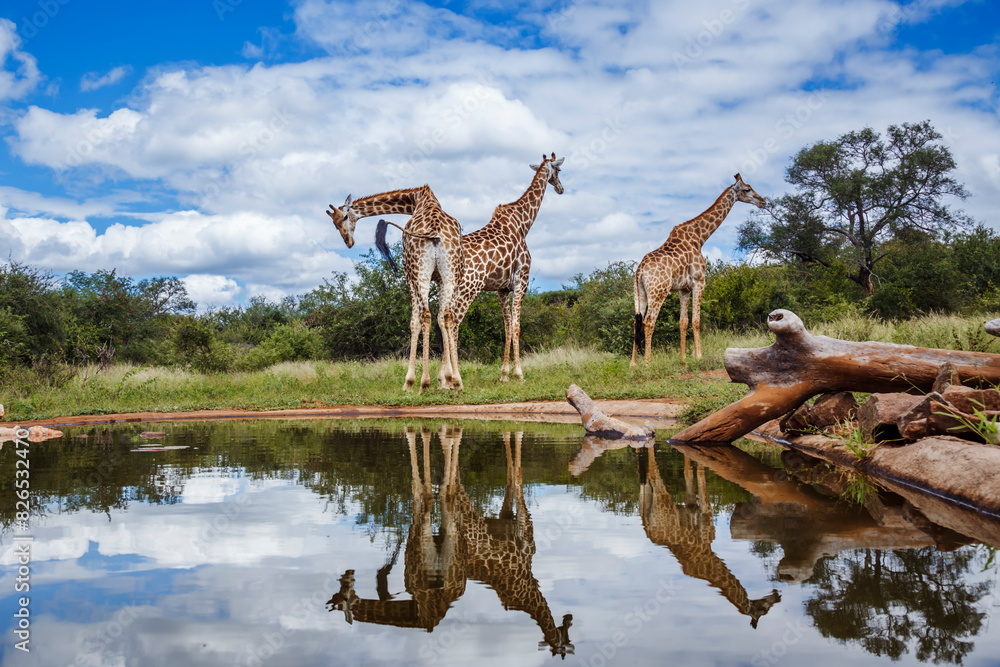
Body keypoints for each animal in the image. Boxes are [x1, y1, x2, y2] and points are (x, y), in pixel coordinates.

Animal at [327, 186, 465, 392]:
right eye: (334, 224)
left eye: (344, 217)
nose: (348, 242)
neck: (417, 199)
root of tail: (434, 230)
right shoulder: (440, 278)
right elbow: (442, 318)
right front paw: (447, 379)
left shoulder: (409, 275)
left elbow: (414, 322)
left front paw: (410, 382)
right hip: (450, 274)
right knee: (447, 316)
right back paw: (456, 381)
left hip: (417, 273)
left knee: (425, 316)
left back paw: (423, 383)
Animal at [327, 426, 575, 657]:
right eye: (565, 638)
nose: (569, 619)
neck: (527, 592)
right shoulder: (522, 532)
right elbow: (517, 475)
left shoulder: (506, 521)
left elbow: (510, 471)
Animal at [448, 153, 565, 382]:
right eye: (559, 170)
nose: (561, 188)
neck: (523, 224)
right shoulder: (522, 280)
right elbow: (517, 326)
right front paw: (519, 373)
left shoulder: (501, 289)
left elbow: (507, 327)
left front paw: (504, 375)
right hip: (469, 287)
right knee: (453, 322)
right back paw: (454, 378)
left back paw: (442, 378)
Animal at [630, 173, 765, 366]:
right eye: (747, 189)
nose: (763, 201)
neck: (700, 237)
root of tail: (640, 269)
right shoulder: (699, 281)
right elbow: (696, 320)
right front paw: (699, 356)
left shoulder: (684, 289)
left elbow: (683, 322)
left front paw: (683, 359)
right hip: (659, 291)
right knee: (648, 322)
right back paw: (648, 363)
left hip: (639, 292)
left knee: (636, 321)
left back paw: (633, 365)